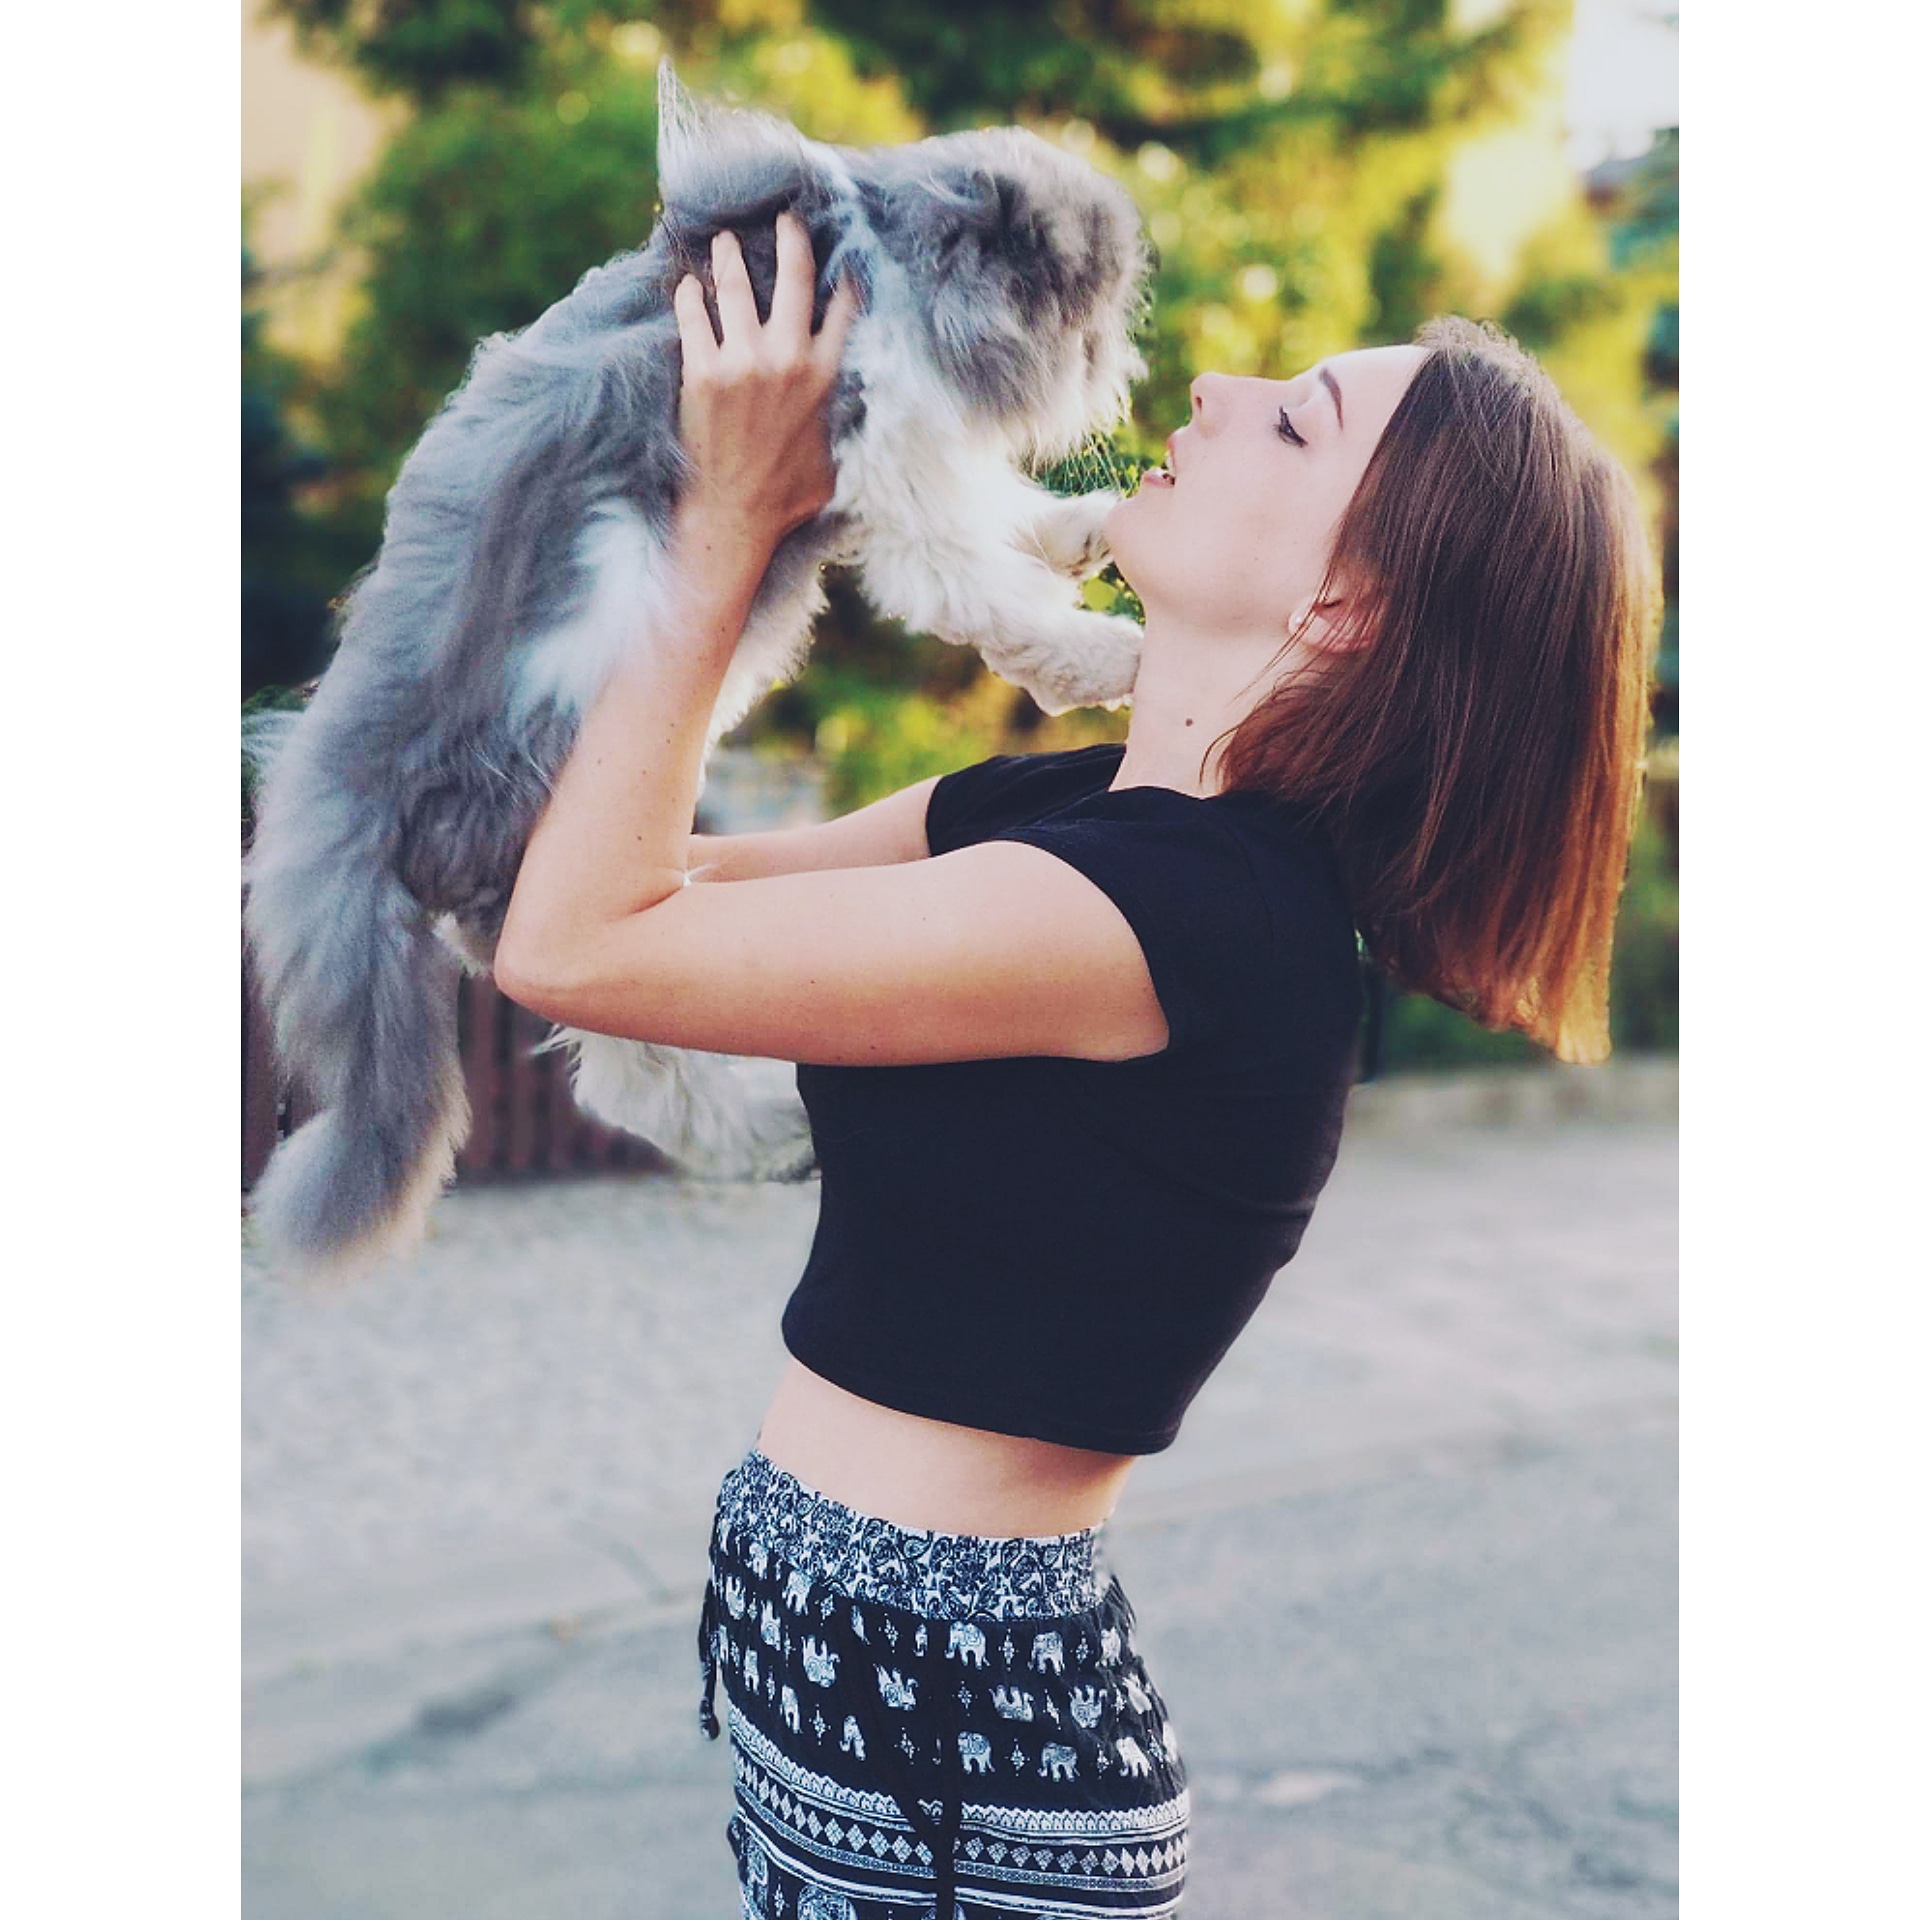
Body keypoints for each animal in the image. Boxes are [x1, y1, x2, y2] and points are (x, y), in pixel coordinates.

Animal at [244, 58, 1153, 1274]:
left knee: (629, 1065)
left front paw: (1092, 531)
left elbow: (1014, 518)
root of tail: (348, 795)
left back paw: (777, 1138)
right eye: (1081, 309)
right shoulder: (900, 469)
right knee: (622, 1053)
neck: (882, 252)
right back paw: (775, 1133)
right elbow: (995, 585)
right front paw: (1115, 656)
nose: (1117, 364)